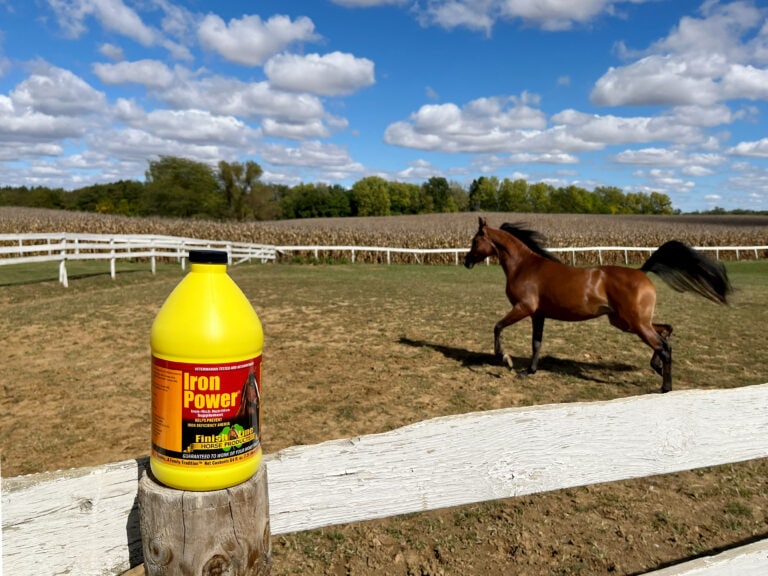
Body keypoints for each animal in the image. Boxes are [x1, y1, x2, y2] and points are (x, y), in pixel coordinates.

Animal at [463, 217, 732, 392]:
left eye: (475, 240)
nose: (466, 261)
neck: (525, 266)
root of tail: (641, 271)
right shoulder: (538, 314)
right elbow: (536, 344)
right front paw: (528, 372)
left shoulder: (524, 308)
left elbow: (497, 327)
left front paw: (505, 359)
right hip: (625, 322)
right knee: (666, 333)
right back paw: (656, 368)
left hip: (635, 323)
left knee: (663, 345)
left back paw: (665, 386)